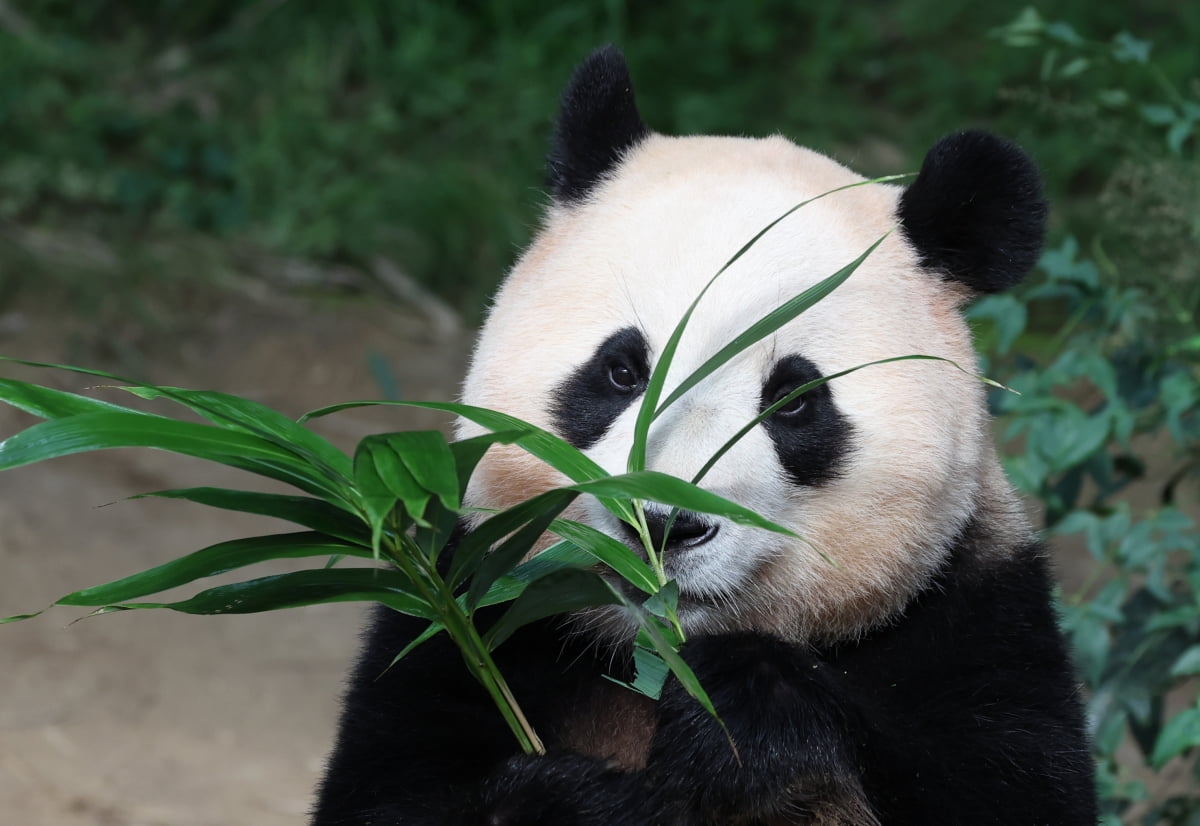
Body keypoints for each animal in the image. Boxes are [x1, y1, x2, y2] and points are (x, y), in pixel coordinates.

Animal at [316, 46, 1099, 826]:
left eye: (795, 401)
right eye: (623, 371)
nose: (664, 526)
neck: (650, 653)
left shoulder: (972, 614)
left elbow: (1007, 784)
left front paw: (740, 708)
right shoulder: (463, 610)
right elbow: (389, 790)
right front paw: (569, 799)